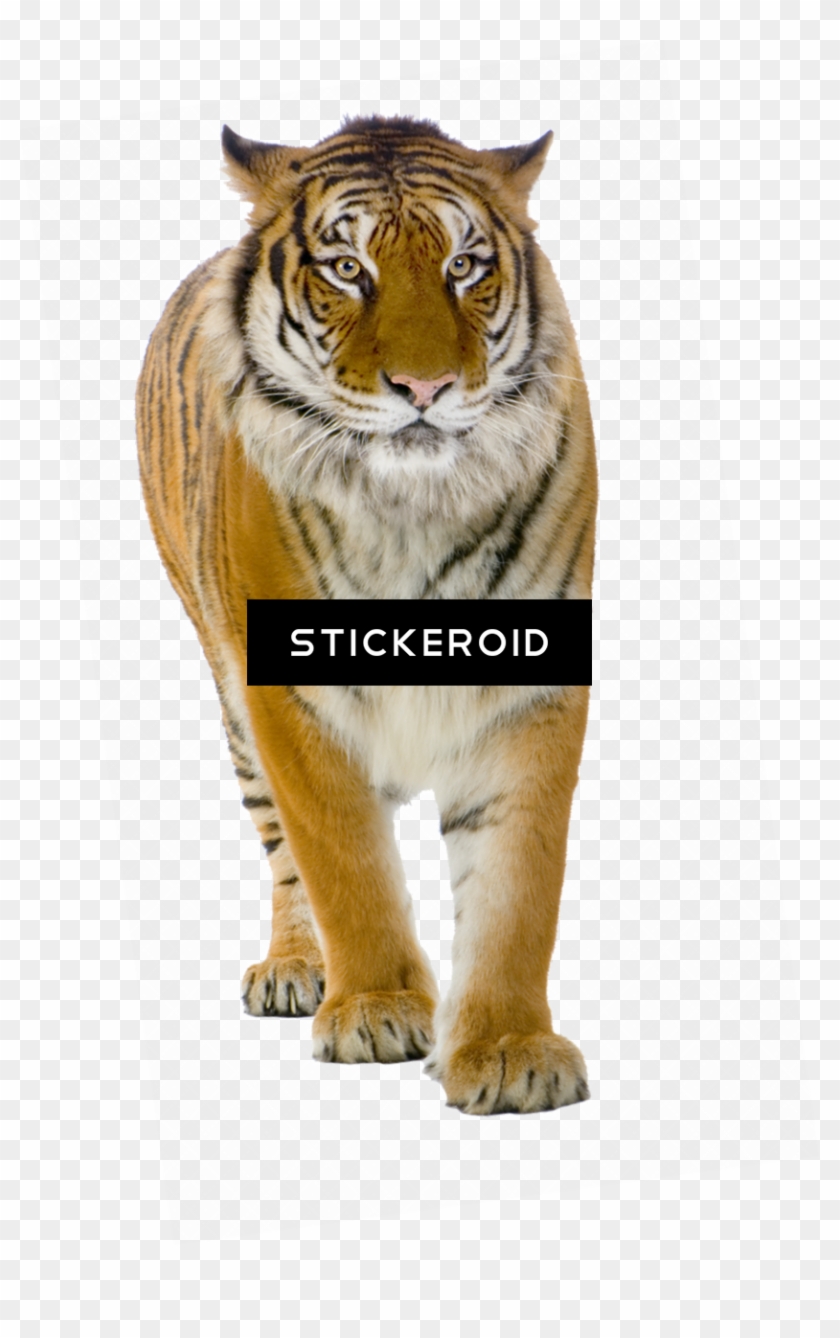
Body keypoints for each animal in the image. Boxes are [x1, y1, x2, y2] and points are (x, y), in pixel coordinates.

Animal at [135, 116, 598, 1115]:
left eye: (464, 265)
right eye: (348, 269)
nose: (423, 388)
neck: (412, 508)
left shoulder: (531, 687)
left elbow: (518, 888)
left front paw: (511, 1049)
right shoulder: (291, 694)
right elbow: (344, 863)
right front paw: (377, 1009)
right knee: (283, 851)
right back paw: (294, 968)